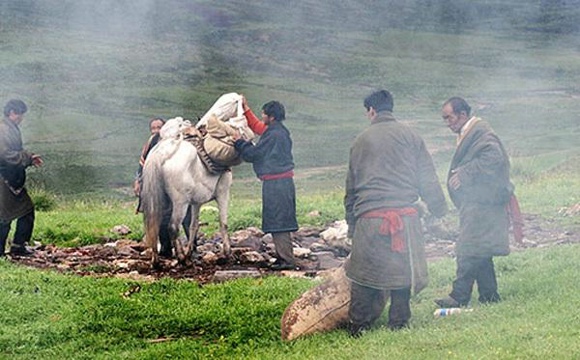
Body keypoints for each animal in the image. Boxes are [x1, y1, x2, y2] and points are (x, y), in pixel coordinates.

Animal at [140, 118, 231, 268]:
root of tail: (163, 152)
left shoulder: (196, 202)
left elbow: (194, 226)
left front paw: (191, 252)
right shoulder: (223, 194)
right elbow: (223, 223)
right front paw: (228, 253)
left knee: (156, 225)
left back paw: (157, 260)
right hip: (180, 203)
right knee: (173, 227)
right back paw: (182, 258)